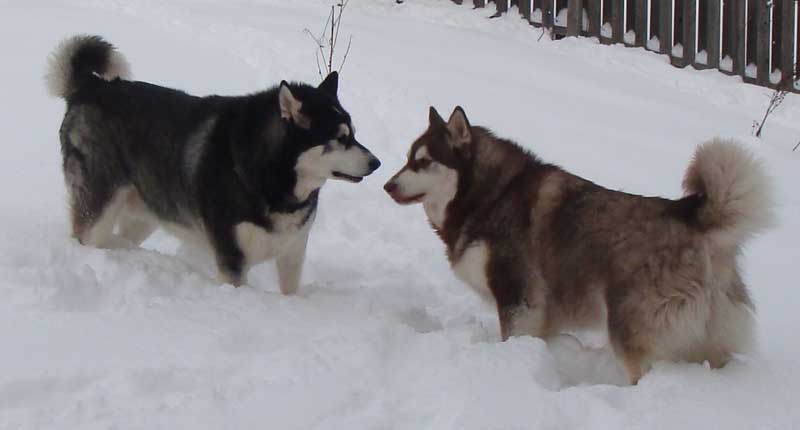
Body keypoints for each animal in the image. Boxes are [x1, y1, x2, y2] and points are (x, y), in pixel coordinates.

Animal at [47, 35, 382, 292]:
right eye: (340, 138)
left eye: (354, 134)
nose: (376, 163)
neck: (271, 178)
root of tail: (92, 87)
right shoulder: (232, 260)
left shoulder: (293, 252)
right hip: (99, 206)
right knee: (86, 234)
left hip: (145, 212)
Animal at [384, 106, 772, 382]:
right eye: (407, 158)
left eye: (423, 162)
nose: (387, 185)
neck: (491, 195)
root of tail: (691, 215)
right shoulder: (542, 314)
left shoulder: (518, 297)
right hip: (704, 338)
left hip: (631, 329)